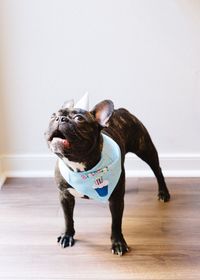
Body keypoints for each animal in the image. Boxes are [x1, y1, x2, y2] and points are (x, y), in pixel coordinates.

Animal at [45, 94, 170, 256]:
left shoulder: (116, 201)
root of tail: (122, 110)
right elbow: (68, 218)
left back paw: (163, 193)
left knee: (158, 171)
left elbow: (116, 223)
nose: (60, 119)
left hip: (145, 149)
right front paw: (67, 235)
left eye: (79, 118)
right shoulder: (65, 196)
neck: (81, 167)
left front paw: (118, 243)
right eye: (52, 115)